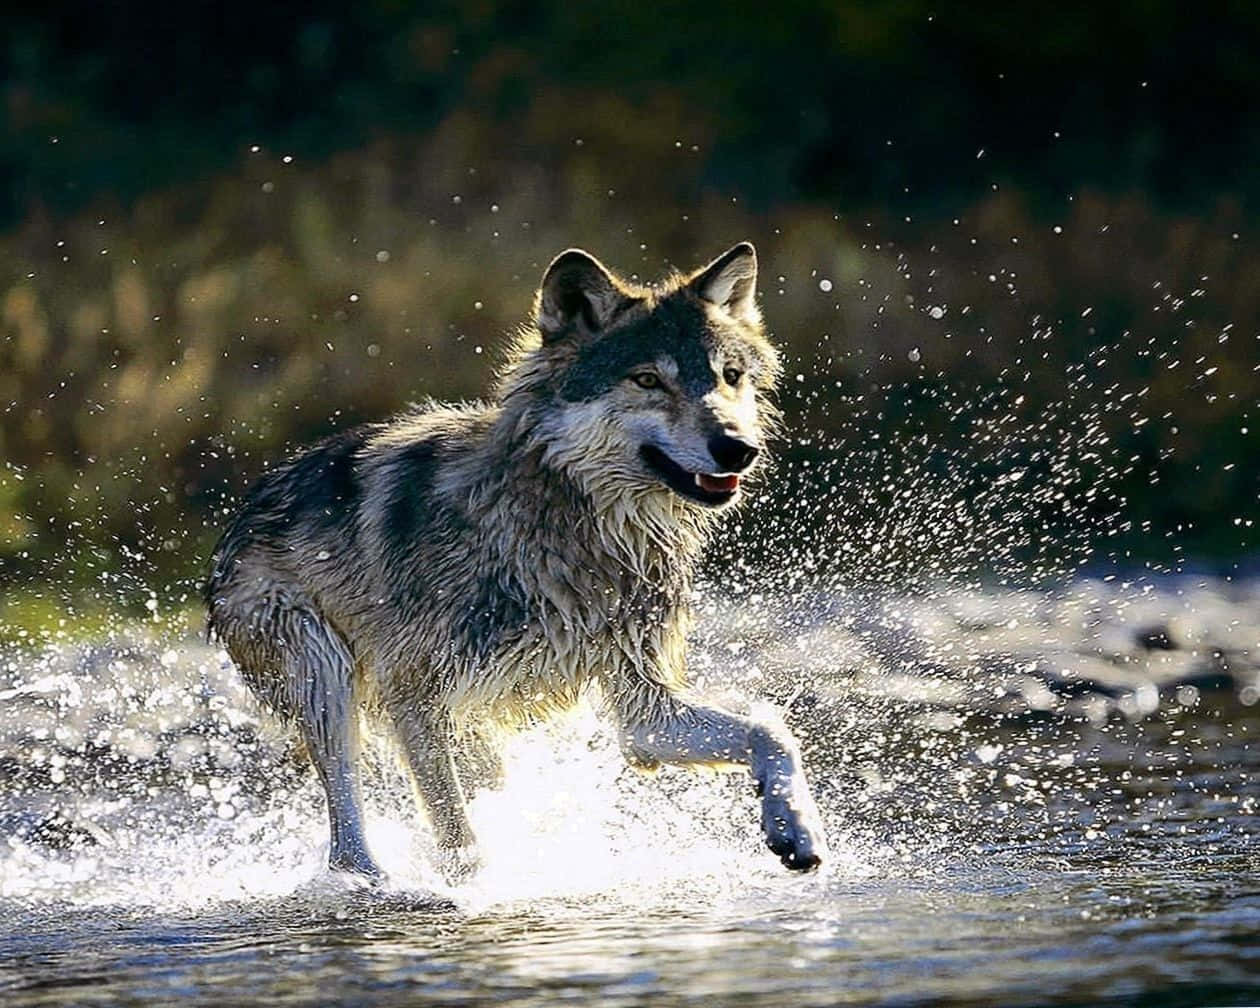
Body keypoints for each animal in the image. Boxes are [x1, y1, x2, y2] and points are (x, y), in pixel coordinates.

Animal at [206, 242, 825, 879]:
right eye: (648, 380)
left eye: (731, 378)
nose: (738, 447)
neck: (567, 532)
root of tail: (240, 518)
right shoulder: (416, 698)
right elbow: (459, 838)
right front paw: (471, 889)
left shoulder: (643, 712)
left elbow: (773, 731)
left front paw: (796, 829)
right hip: (328, 675)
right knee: (347, 843)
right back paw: (374, 882)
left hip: (468, 729)